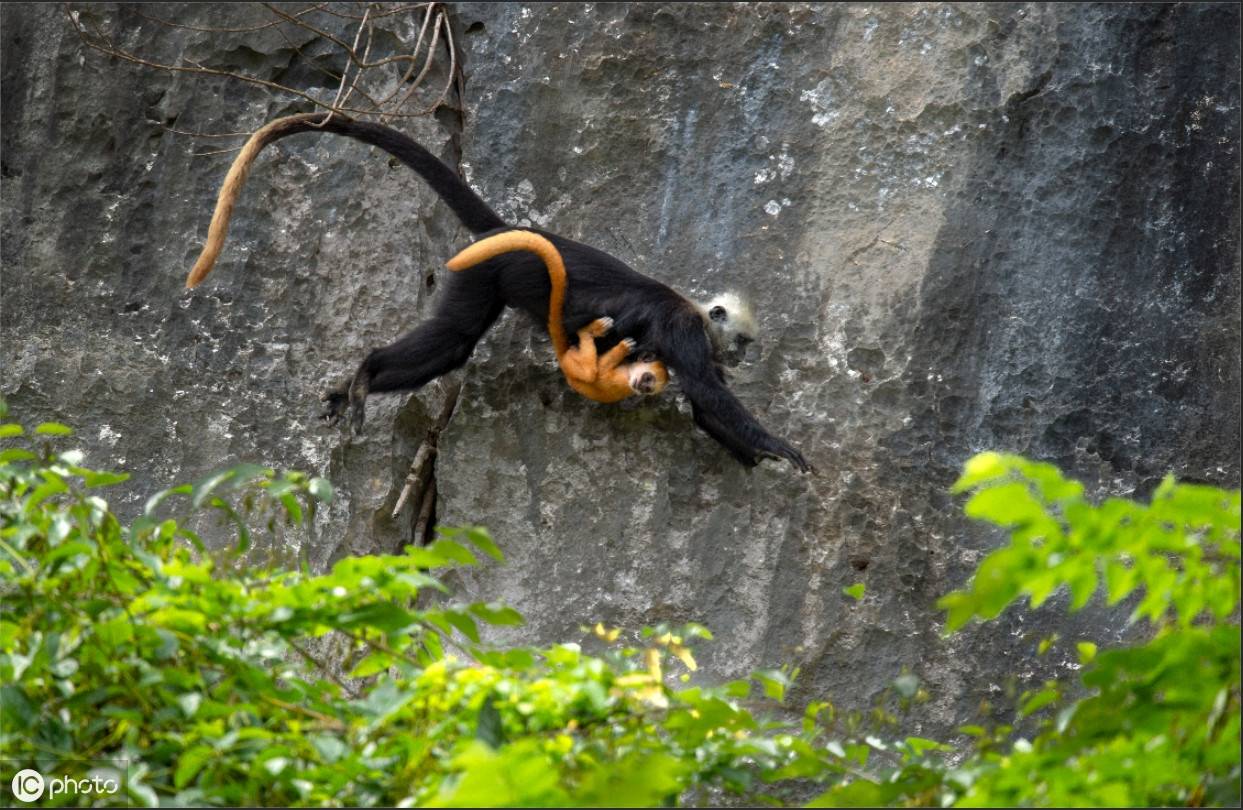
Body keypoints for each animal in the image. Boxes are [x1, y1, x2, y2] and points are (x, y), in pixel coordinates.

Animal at [449, 231, 671, 402]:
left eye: (649, 386)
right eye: (648, 379)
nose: (642, 388)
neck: (630, 374)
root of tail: (564, 360)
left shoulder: (620, 381)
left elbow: (597, 373)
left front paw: (622, 348)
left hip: (574, 364)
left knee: (589, 371)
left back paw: (591, 332)